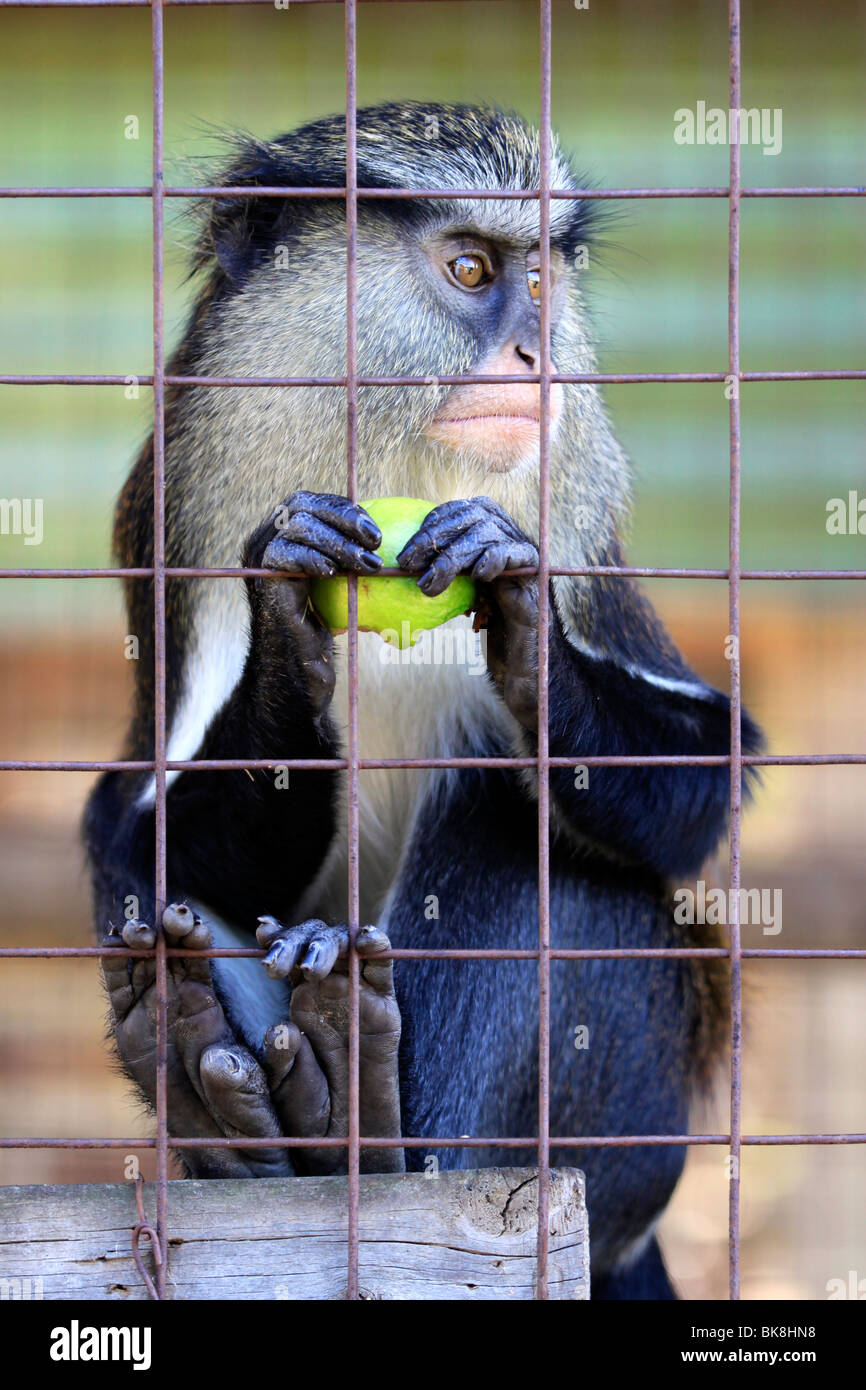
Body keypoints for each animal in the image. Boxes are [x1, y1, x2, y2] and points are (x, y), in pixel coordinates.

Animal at [84, 100, 761, 1301]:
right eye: (469, 270)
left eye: (540, 281)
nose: (534, 352)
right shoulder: (175, 525)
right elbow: (140, 838)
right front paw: (284, 619)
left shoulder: (585, 541)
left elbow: (703, 767)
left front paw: (523, 619)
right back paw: (255, 1092)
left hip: (628, 1161)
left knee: (541, 840)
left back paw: (374, 1112)